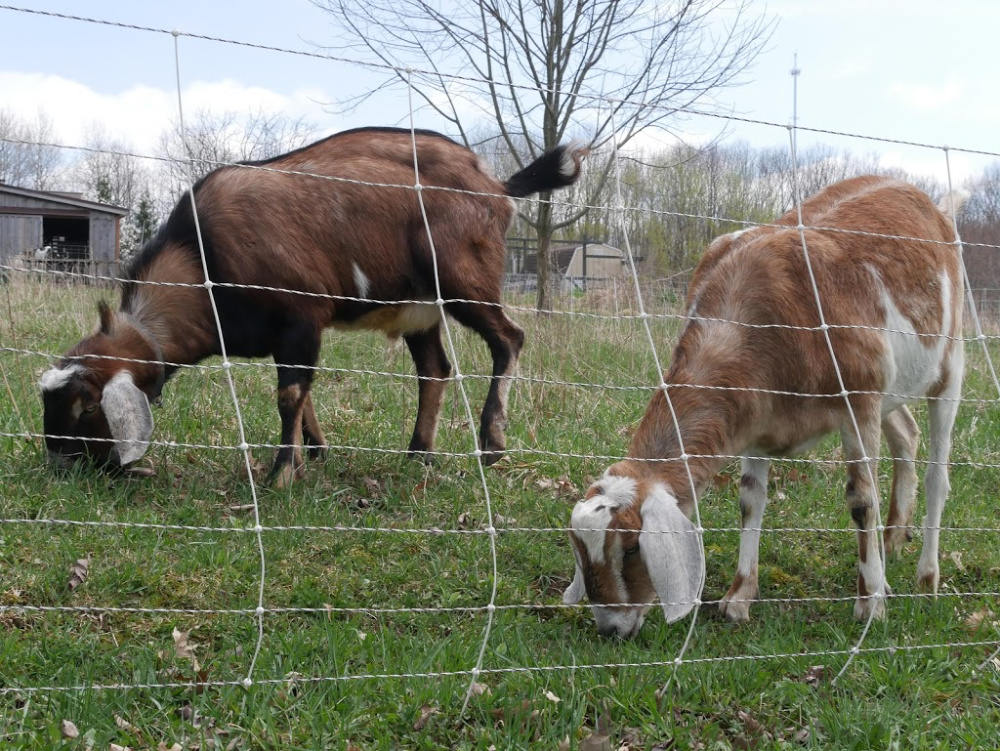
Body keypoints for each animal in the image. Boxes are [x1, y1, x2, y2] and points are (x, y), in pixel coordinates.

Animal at [39, 128, 584, 488]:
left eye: (88, 404)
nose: (58, 462)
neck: (201, 258)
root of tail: (498, 188)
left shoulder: (301, 317)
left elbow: (289, 396)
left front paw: (281, 475)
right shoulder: (286, 336)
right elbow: (303, 396)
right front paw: (311, 455)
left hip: (464, 281)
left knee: (508, 339)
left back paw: (492, 442)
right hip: (420, 308)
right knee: (435, 369)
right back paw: (419, 453)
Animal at [564, 178, 960, 640]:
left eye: (630, 548)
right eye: (580, 549)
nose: (610, 627)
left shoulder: (859, 401)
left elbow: (863, 501)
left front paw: (871, 604)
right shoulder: (756, 416)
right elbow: (750, 500)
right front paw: (739, 597)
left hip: (949, 364)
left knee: (938, 474)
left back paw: (926, 576)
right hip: (892, 389)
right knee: (906, 433)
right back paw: (895, 539)